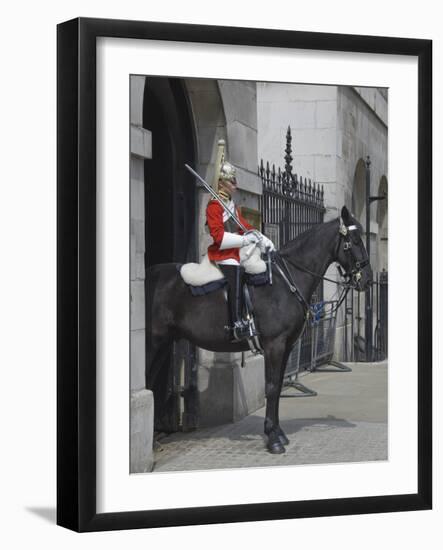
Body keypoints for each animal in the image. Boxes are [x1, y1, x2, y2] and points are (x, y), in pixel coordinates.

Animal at [147, 205, 372, 454]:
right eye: (354, 240)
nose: (368, 280)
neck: (285, 281)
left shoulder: (286, 346)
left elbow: (278, 386)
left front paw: (278, 433)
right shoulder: (275, 345)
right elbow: (272, 387)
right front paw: (273, 439)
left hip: (164, 342)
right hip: (152, 342)